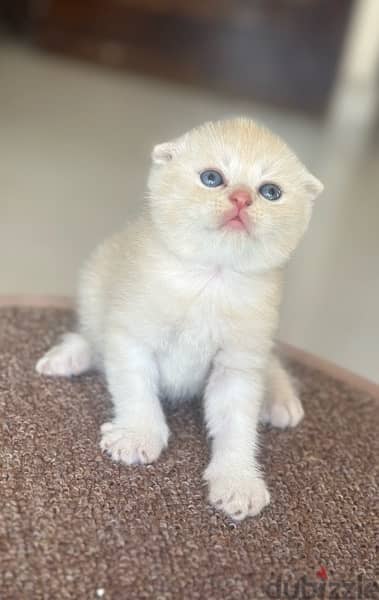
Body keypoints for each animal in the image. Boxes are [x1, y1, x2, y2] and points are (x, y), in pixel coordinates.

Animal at [37, 117, 326, 520]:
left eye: (270, 191)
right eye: (211, 178)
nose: (241, 198)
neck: (212, 278)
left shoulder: (238, 363)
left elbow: (237, 423)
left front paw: (238, 480)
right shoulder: (131, 334)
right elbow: (135, 388)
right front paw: (138, 435)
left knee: (270, 362)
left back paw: (279, 398)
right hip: (94, 287)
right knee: (93, 339)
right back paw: (67, 358)